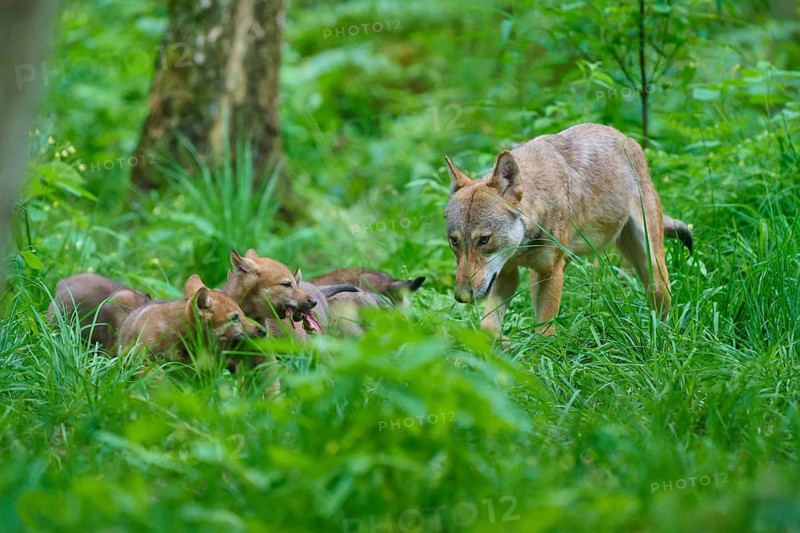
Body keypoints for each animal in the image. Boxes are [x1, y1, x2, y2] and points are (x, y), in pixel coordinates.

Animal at [444, 123, 692, 336]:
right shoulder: (506, 274)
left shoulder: (551, 273)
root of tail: (628, 139)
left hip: (653, 270)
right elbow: (489, 328)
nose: (461, 297)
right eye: (454, 241)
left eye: (484, 240)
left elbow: (544, 333)